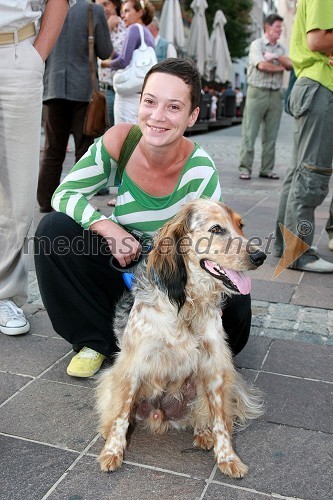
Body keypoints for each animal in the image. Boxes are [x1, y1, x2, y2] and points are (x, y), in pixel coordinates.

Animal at [94, 198, 266, 476]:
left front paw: (227, 457)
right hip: (111, 379)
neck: (187, 304)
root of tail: (160, 415)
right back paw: (107, 430)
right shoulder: (132, 365)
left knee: (205, 416)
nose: (260, 256)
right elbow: (121, 415)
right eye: (216, 229)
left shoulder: (215, 367)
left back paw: (204, 433)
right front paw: (112, 451)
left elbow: (221, 420)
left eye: (241, 226)